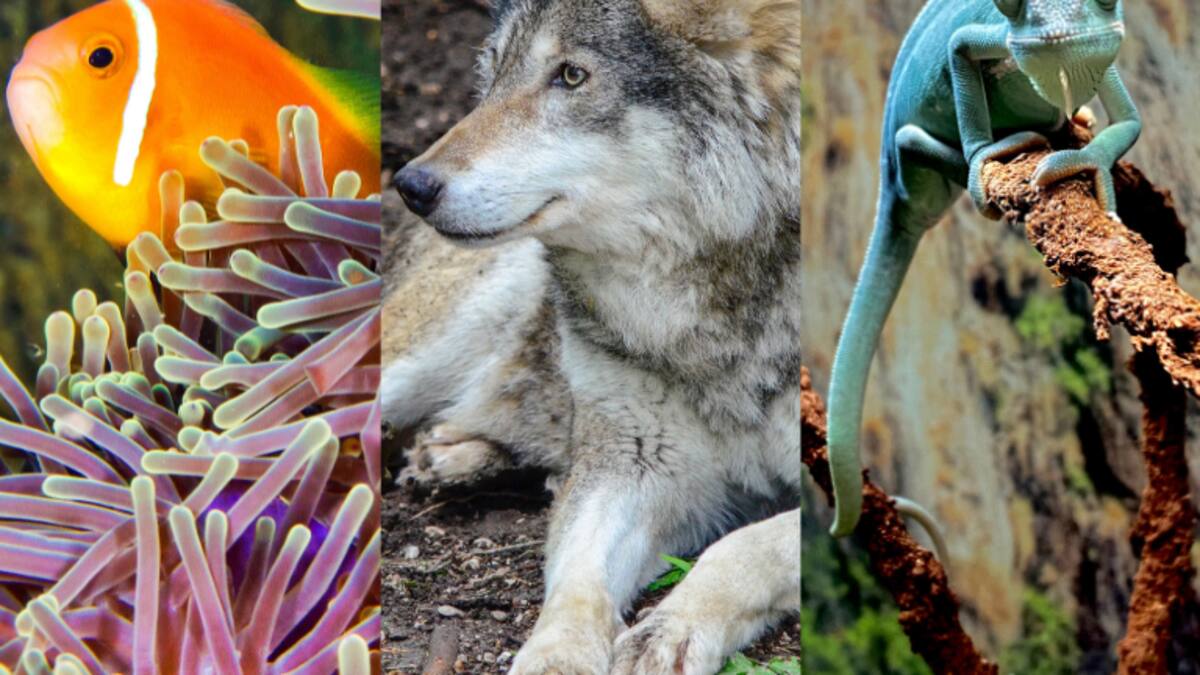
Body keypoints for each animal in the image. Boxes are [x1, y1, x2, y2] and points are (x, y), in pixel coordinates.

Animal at [383, 0, 802, 672]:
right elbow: (577, 581)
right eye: (496, 69)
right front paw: (557, 656)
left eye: (572, 76)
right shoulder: (631, 465)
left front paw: (669, 629)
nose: (414, 185)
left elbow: (744, 545)